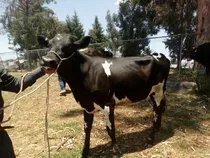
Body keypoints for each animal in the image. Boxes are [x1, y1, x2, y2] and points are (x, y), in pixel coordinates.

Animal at [37, 34, 171, 157]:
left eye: (70, 46)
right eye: (48, 45)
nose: (47, 61)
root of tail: (159, 55)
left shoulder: (107, 104)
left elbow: (110, 129)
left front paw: (115, 151)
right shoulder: (87, 105)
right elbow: (87, 129)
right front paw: (85, 152)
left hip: (158, 90)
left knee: (156, 111)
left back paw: (150, 139)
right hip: (153, 92)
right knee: (159, 109)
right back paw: (158, 128)